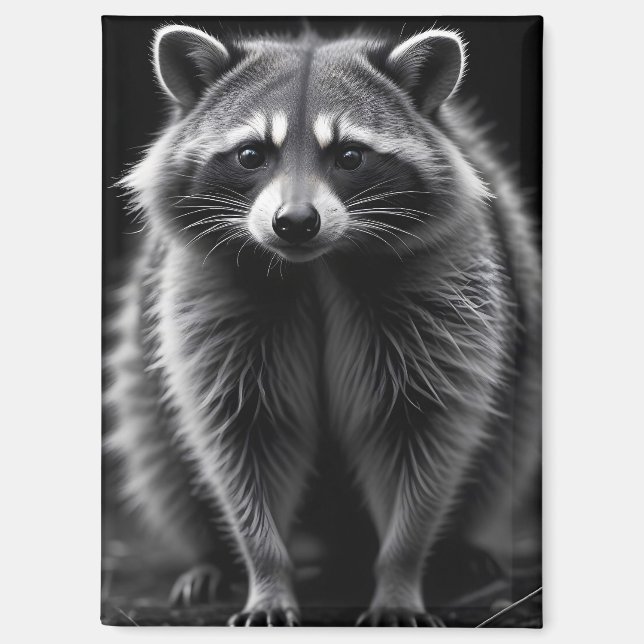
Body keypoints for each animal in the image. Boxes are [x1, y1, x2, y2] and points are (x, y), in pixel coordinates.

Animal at [105, 24, 541, 627]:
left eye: (350, 156)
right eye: (251, 154)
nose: (294, 223)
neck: (313, 264)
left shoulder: (447, 289)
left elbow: (422, 431)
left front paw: (401, 572)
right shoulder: (207, 296)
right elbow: (243, 435)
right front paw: (265, 572)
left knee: (503, 449)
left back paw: (458, 549)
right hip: (143, 377)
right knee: (159, 452)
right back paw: (210, 558)